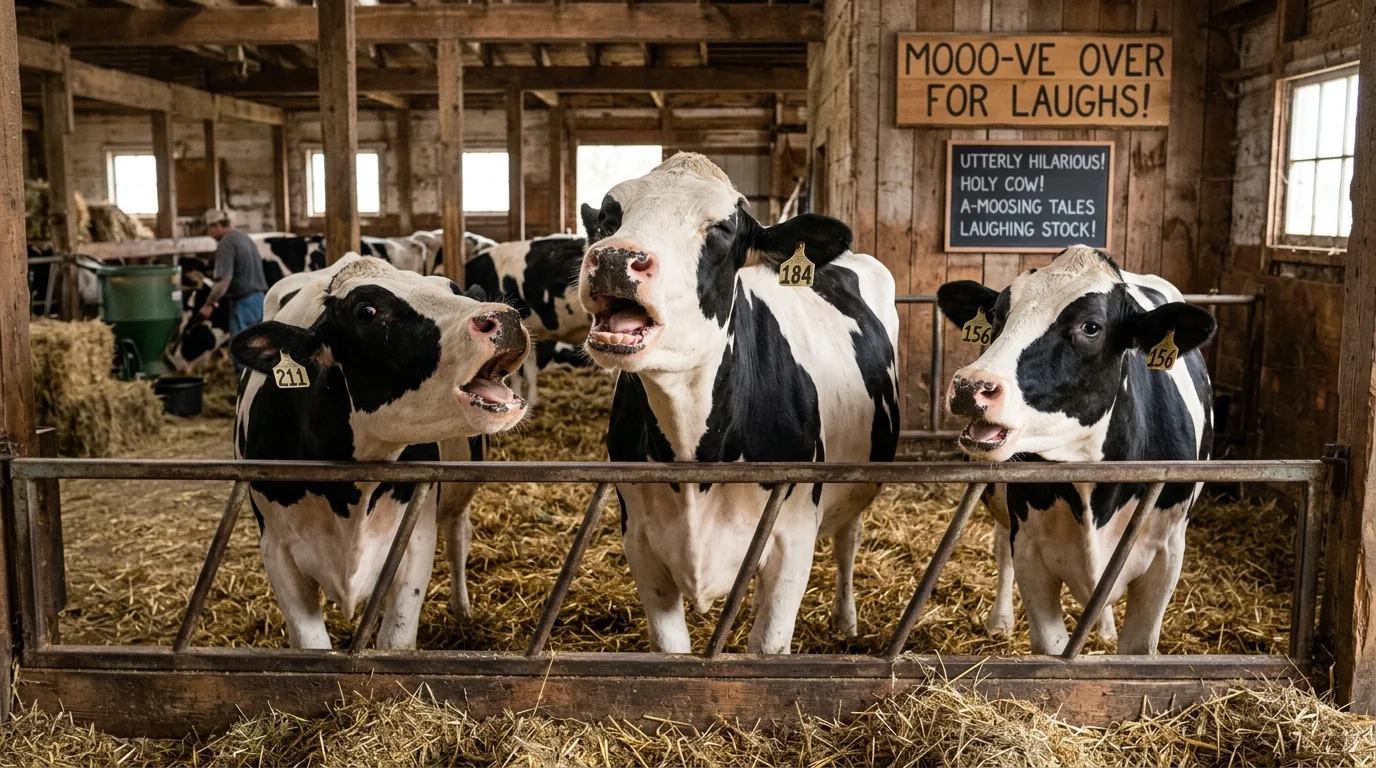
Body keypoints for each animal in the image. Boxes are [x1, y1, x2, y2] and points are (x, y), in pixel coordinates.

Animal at [231, 254, 529, 649]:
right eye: (367, 311)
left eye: (451, 288)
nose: (506, 317)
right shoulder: (276, 550)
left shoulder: (416, 541)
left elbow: (395, 642)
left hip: (460, 490)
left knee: (458, 535)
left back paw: (462, 609)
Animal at [577, 153, 900, 654]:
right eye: (609, 218)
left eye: (723, 228)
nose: (614, 257)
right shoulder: (641, 541)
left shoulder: (793, 540)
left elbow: (766, 648)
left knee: (849, 535)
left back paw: (845, 620)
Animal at [934, 245, 1215, 655]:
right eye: (998, 316)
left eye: (1091, 327)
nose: (971, 386)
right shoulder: (1030, 550)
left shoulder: (1166, 554)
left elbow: (1136, 648)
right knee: (1001, 543)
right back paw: (1000, 620)